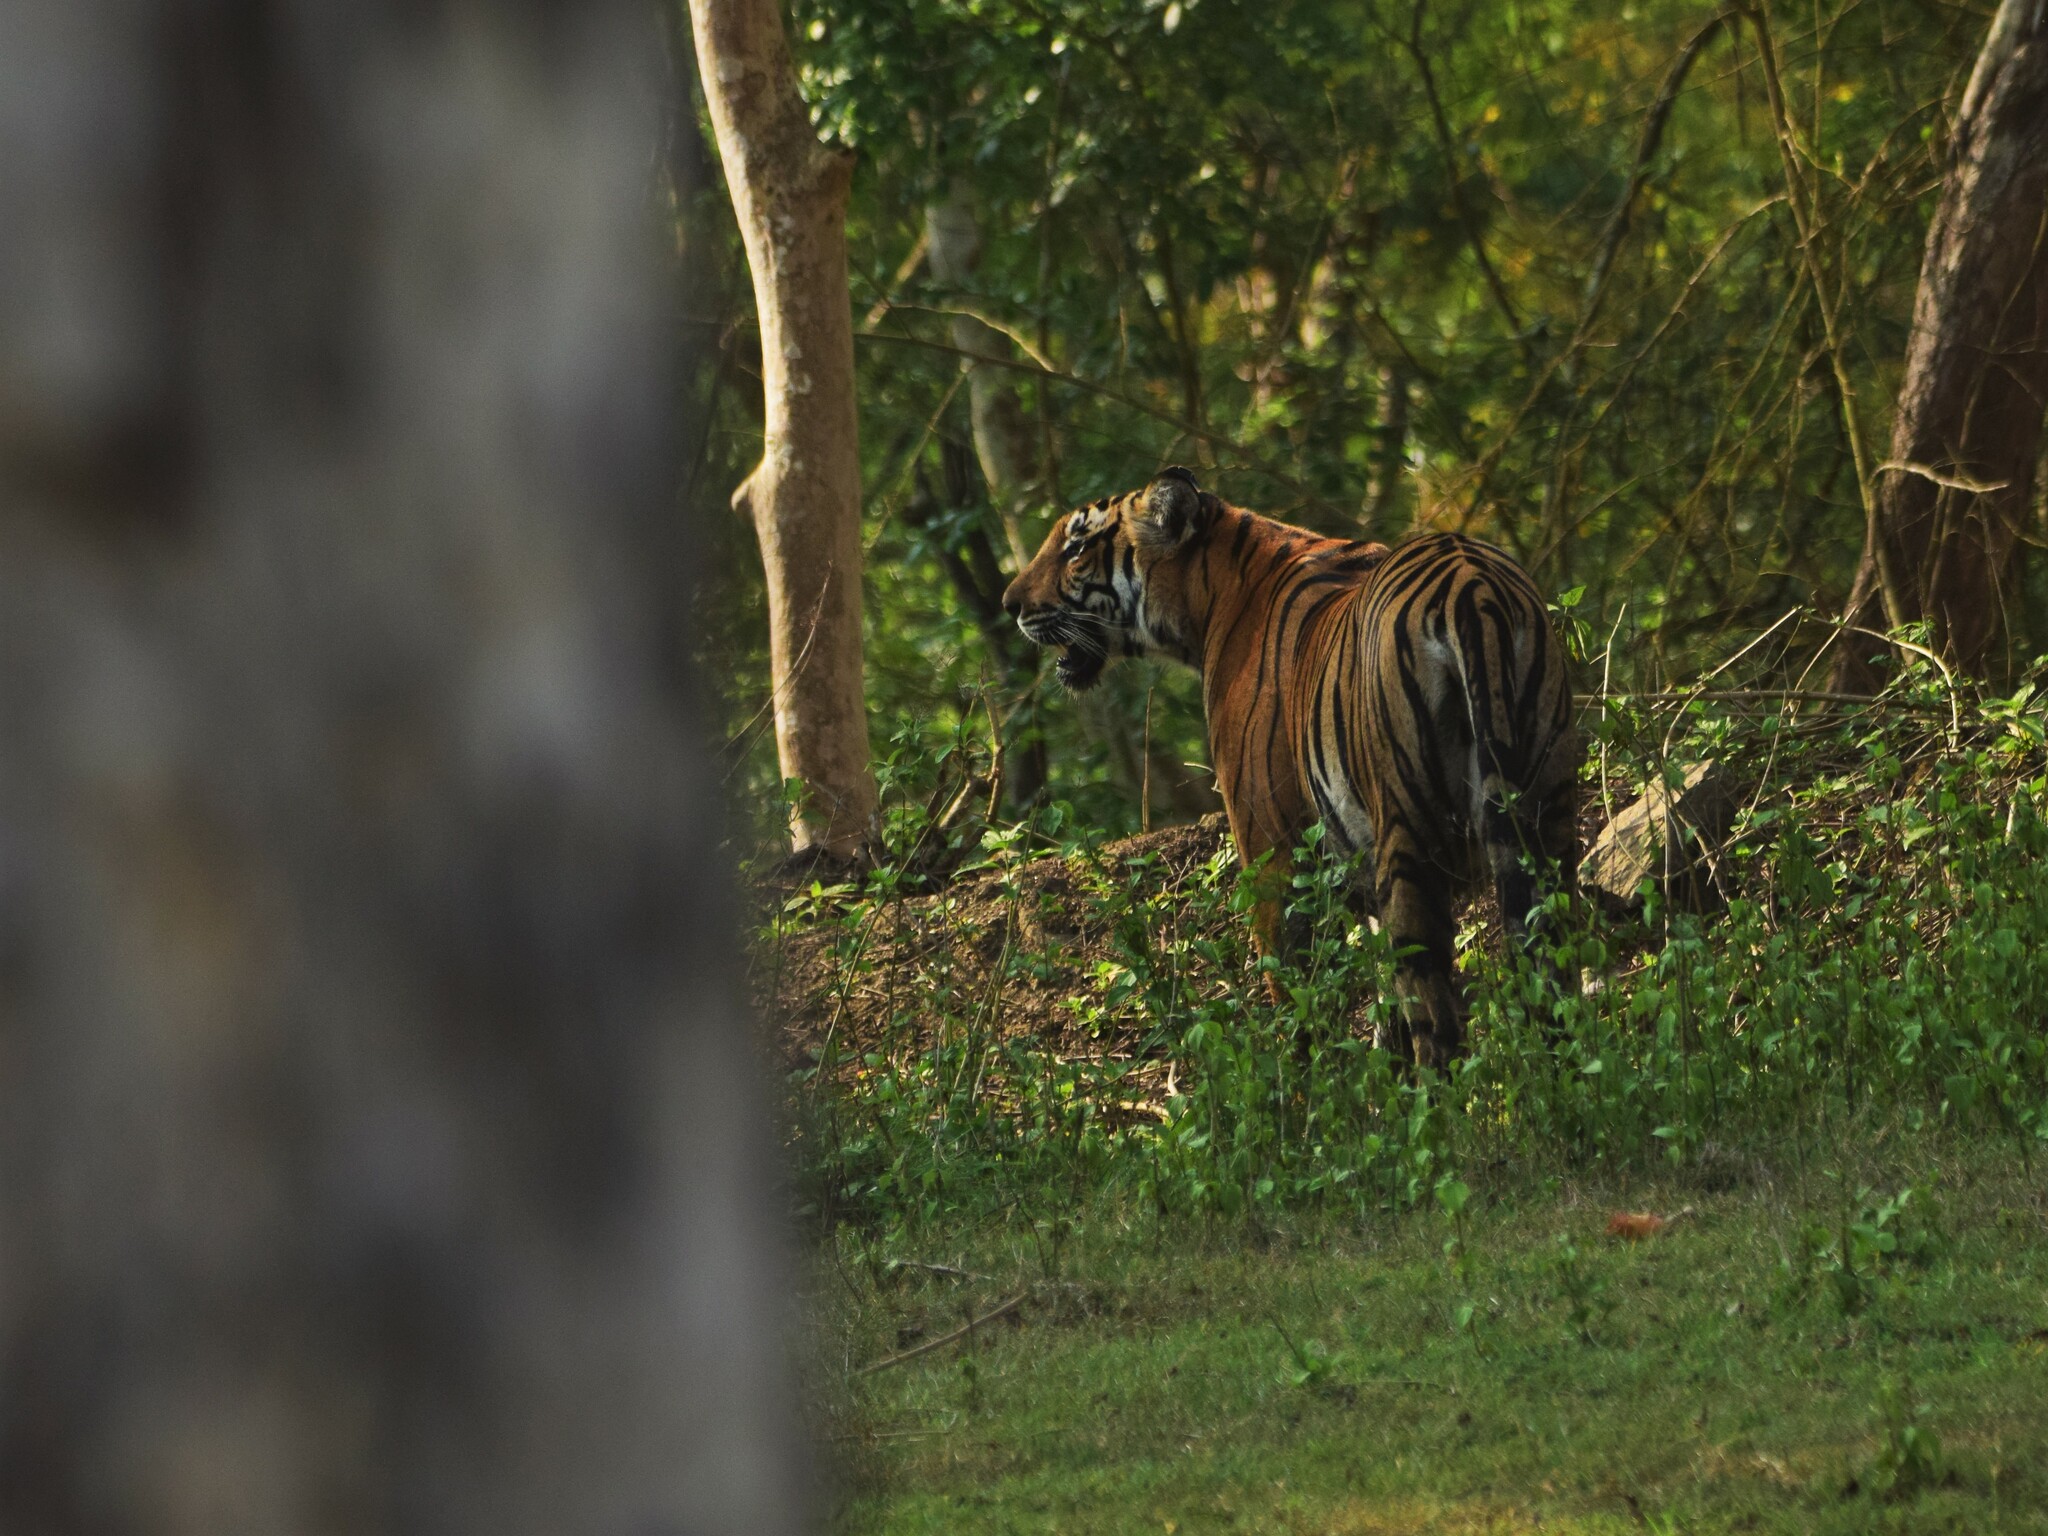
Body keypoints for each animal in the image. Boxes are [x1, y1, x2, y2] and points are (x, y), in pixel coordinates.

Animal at [999, 468, 1572, 1073]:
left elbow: (1298, 998)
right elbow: (1380, 999)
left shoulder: (1270, 849)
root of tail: (1471, 585)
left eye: (1077, 547)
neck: (1210, 592)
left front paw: (1306, 1087)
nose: (1009, 603)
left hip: (1407, 830)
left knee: (1433, 1011)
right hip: (1547, 816)